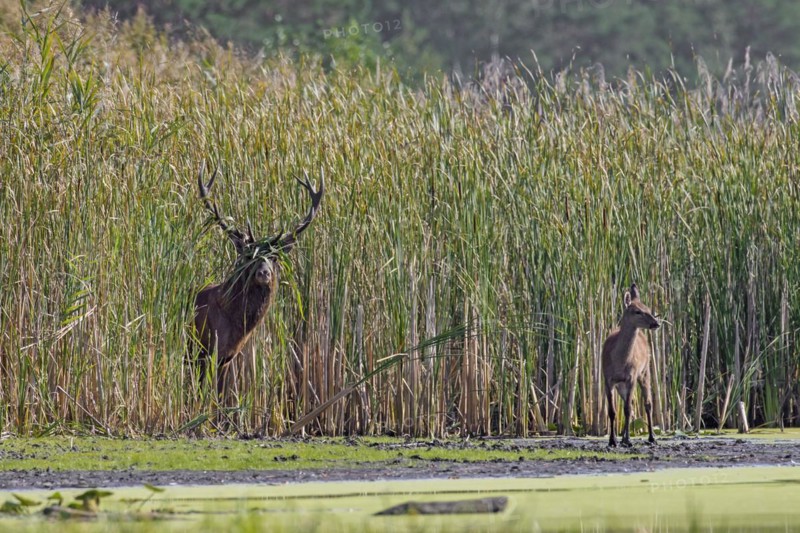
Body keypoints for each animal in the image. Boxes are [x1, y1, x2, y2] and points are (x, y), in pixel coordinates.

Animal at [602, 283, 660, 447]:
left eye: (648, 308)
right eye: (637, 311)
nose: (656, 323)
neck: (619, 361)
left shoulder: (631, 376)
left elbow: (626, 409)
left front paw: (627, 440)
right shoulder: (607, 379)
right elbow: (612, 411)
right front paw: (612, 440)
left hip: (645, 371)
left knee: (647, 403)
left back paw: (651, 437)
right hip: (621, 384)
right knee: (632, 404)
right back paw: (623, 438)